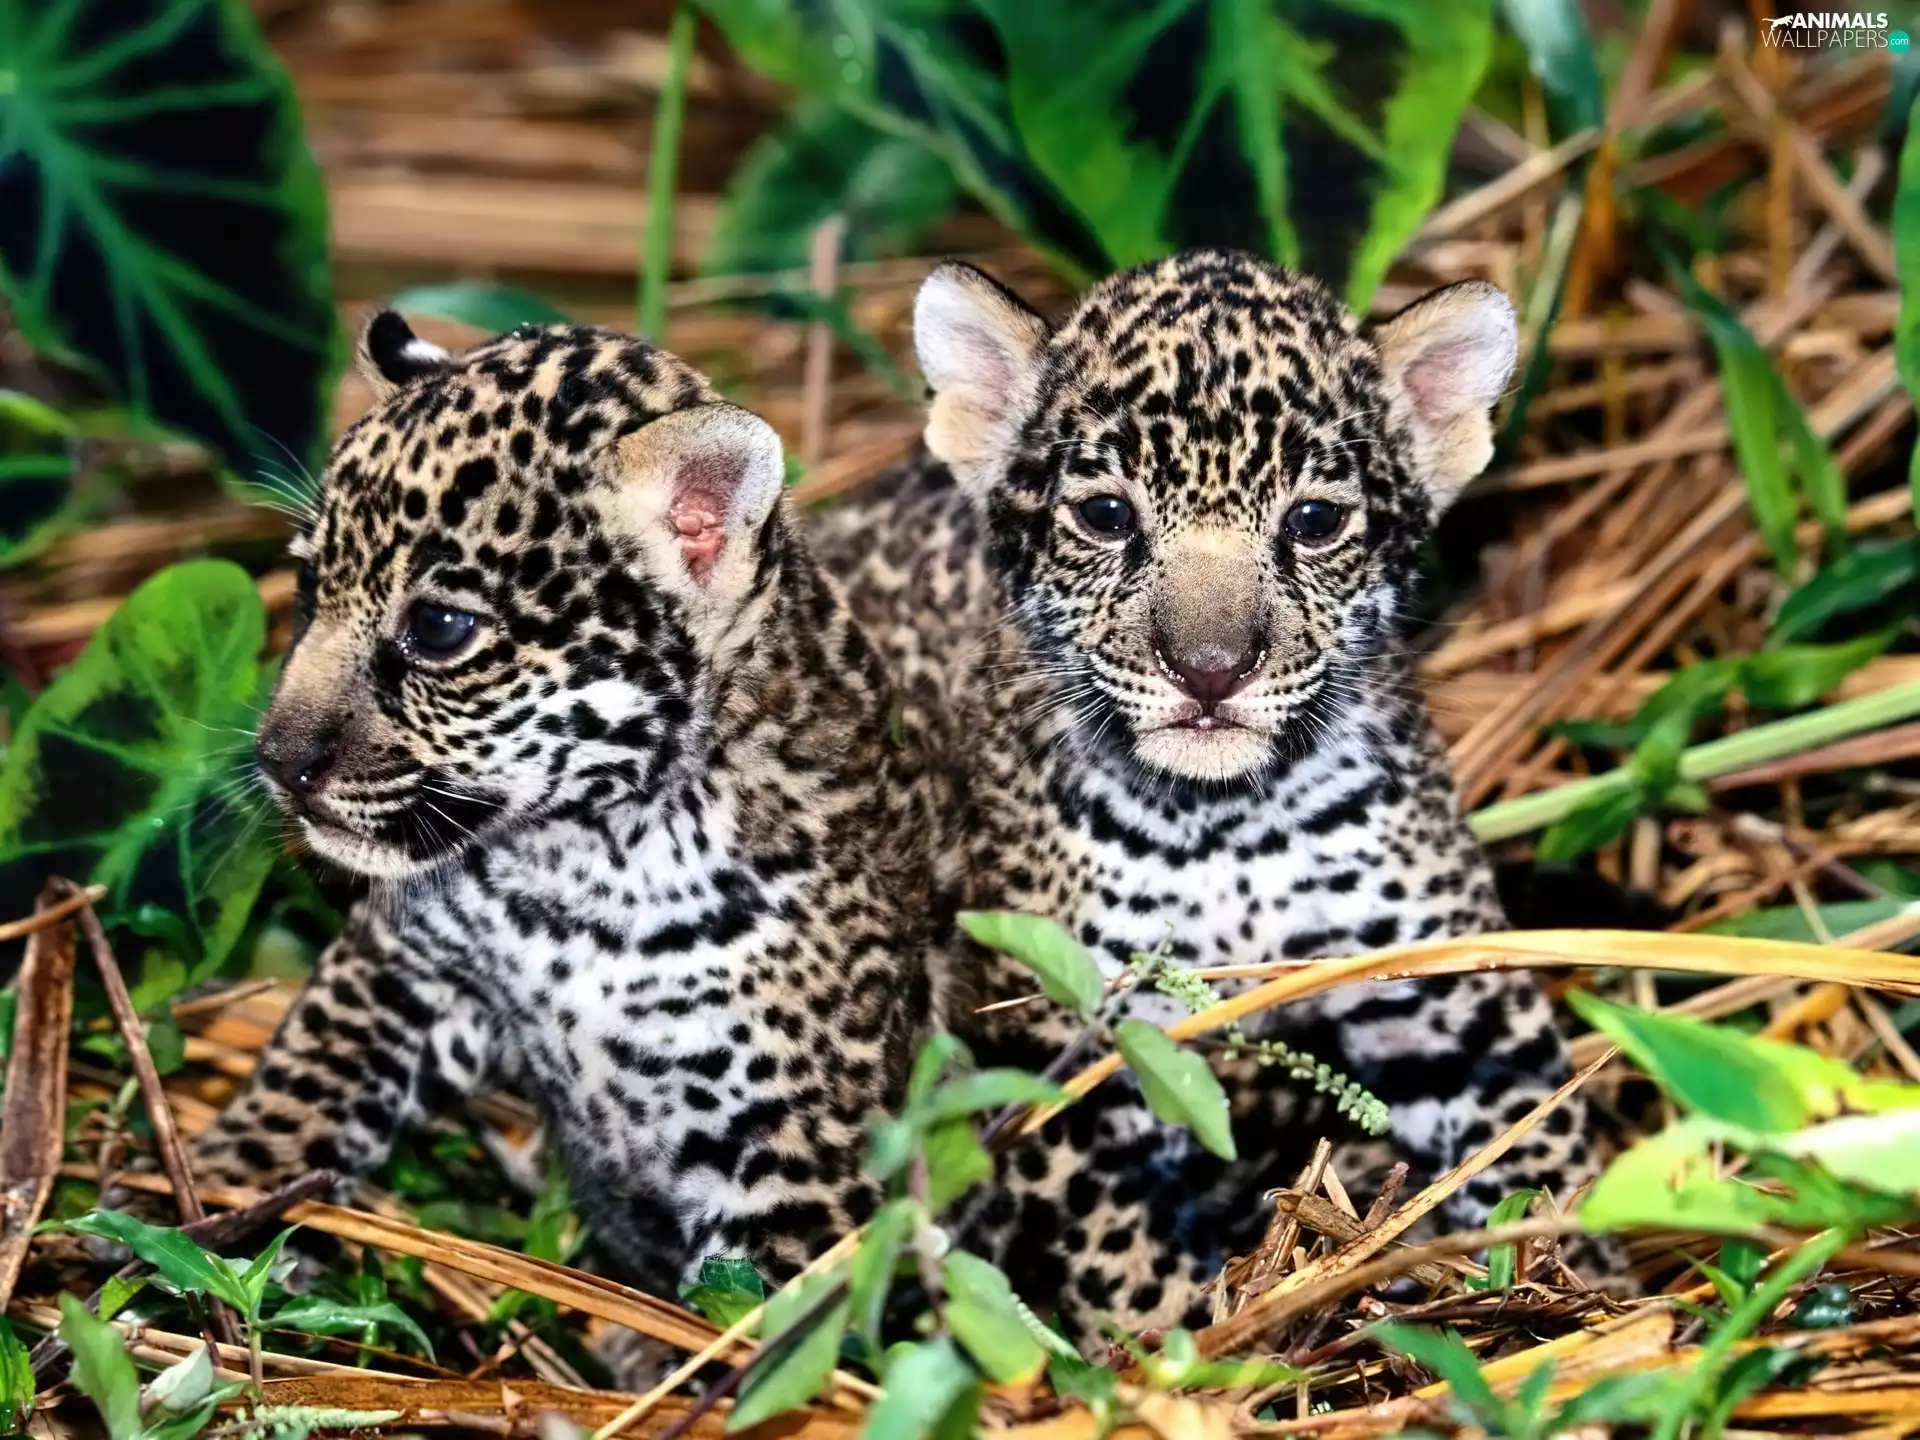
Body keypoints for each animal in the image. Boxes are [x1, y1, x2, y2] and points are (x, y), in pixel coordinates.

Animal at [194, 313, 957, 1302]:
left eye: (439, 629)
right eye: (306, 589)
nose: (278, 761)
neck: (583, 868)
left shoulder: (795, 1153)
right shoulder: (398, 966)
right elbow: (300, 1080)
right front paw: (206, 1204)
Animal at [809, 248, 1620, 1338]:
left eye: (1313, 522)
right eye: (1106, 515)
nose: (1209, 670)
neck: (1228, 828)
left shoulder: (1450, 990)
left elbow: (1536, 1136)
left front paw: (1592, 1286)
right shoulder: (1072, 1047)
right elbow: (1123, 1258)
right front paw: (1181, 1349)